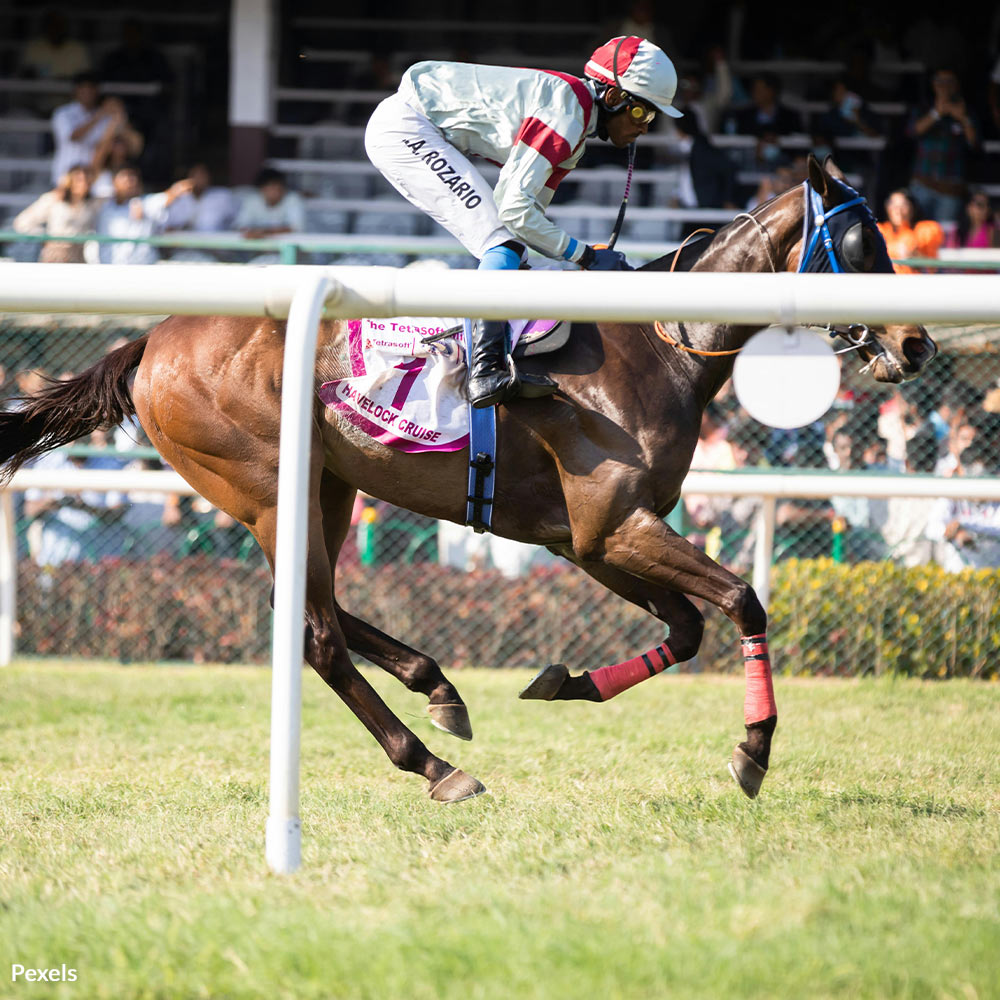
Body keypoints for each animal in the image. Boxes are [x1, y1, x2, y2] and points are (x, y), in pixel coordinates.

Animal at [0, 156, 936, 803]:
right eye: (862, 246)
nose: (919, 342)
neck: (658, 342)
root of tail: (149, 338)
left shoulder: (589, 540)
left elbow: (685, 628)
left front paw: (568, 682)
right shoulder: (615, 525)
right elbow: (742, 601)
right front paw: (753, 751)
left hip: (325, 484)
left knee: (313, 610)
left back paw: (438, 688)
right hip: (267, 487)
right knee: (315, 637)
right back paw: (433, 763)